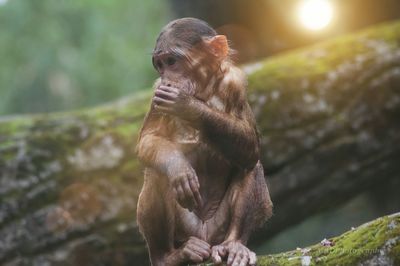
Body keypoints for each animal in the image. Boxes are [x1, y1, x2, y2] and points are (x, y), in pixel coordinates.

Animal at [136, 17, 274, 264]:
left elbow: (250, 145)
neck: (203, 88)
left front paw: (187, 106)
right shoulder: (156, 93)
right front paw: (179, 168)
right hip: (185, 229)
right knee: (156, 171)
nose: (167, 78)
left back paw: (234, 245)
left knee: (251, 166)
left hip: (218, 229)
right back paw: (169, 256)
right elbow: (149, 139)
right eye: (160, 65)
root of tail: (205, 237)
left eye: (172, 61)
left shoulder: (235, 83)